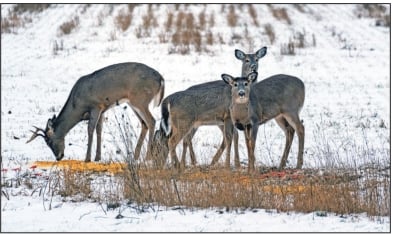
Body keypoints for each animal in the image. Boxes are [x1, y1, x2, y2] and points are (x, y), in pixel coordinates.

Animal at [26, 61, 164, 163]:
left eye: (49, 141)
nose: (58, 157)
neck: (77, 106)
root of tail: (161, 79)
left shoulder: (96, 105)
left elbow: (90, 129)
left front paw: (87, 158)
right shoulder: (102, 110)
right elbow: (99, 130)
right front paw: (97, 157)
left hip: (141, 99)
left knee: (151, 121)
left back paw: (148, 156)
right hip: (133, 103)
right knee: (144, 123)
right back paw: (135, 156)